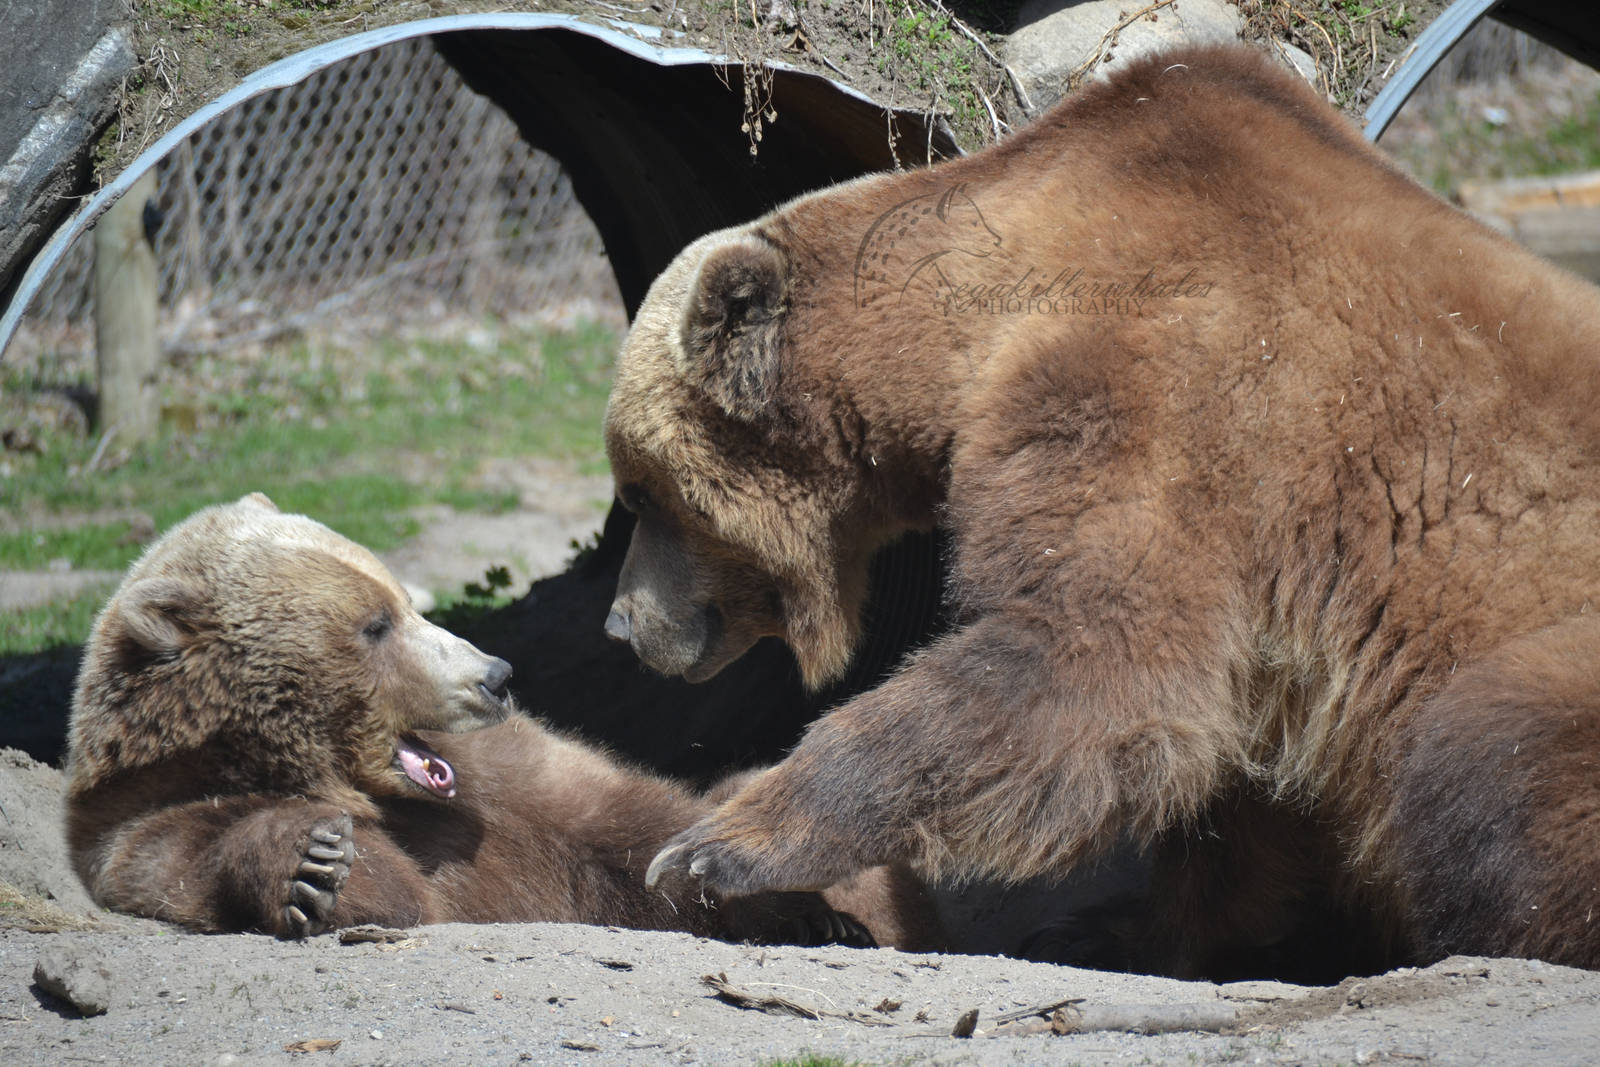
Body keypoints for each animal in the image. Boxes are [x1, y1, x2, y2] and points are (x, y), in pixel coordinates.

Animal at [64, 493, 940, 950]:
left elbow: (641, 825)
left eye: (404, 598)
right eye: (375, 624)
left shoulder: (511, 779)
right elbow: (192, 859)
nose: (493, 675)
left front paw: (820, 906)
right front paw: (312, 865)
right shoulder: (140, 819)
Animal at [600, 42, 1600, 975]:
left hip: (1538, 644)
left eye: (640, 492)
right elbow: (1223, 775)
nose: (620, 622)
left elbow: (1084, 648)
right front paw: (1126, 926)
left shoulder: (1151, 383)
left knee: (1487, 751)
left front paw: (712, 846)